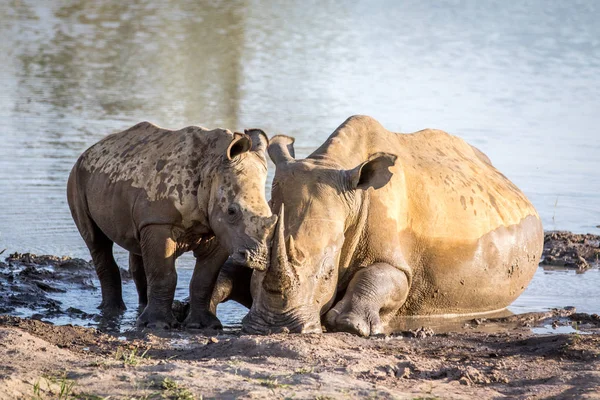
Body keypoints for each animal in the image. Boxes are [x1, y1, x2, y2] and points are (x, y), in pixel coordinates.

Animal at [68, 122, 276, 328]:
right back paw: (113, 311)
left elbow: (204, 279)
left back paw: (140, 309)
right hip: (77, 177)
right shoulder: (159, 222)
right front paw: (158, 325)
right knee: (97, 241)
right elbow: (164, 275)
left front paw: (203, 325)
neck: (213, 167)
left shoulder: (220, 231)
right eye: (232, 212)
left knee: (137, 247)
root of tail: (92, 148)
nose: (257, 259)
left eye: (270, 215)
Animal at [240, 115, 544, 334]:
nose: (275, 327)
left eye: (328, 274)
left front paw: (350, 324)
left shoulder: (398, 260)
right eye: (257, 265)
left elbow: (386, 276)